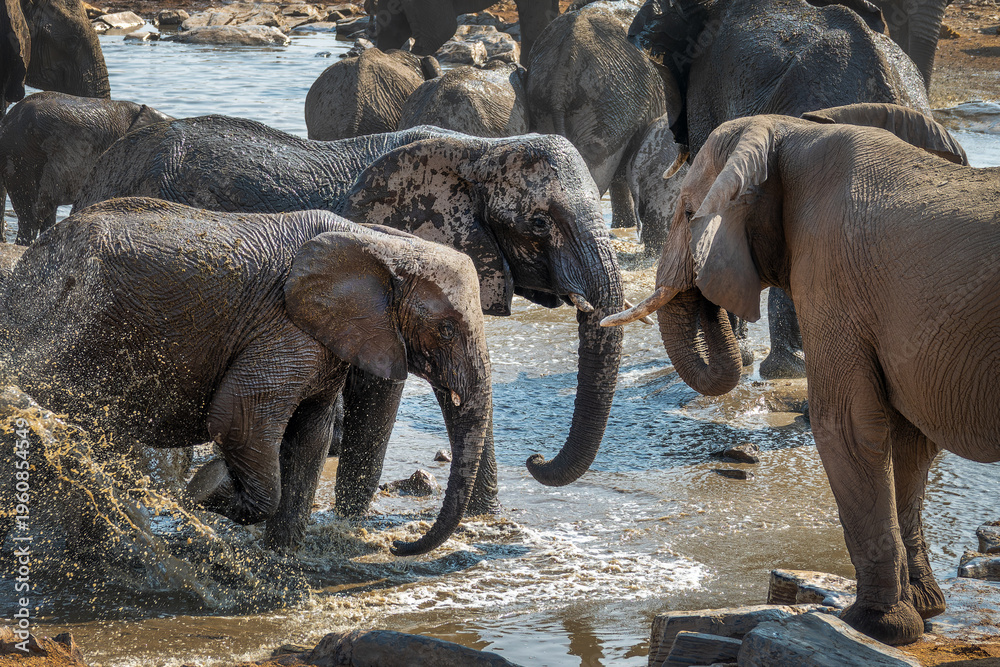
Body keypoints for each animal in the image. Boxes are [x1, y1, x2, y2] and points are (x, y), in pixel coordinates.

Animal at [0, 197, 494, 556]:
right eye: (447, 329)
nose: (396, 546)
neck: (378, 242)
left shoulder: (323, 340)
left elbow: (311, 434)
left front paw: (282, 557)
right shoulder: (283, 328)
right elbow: (239, 417)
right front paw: (206, 492)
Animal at [73, 115, 625, 520]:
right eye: (539, 223)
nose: (535, 460)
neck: (480, 149)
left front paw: (482, 519)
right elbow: (378, 389)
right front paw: (350, 524)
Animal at [603, 104, 980, 645]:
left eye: (688, 215)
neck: (793, 131)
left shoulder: (832, 275)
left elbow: (846, 424)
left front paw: (870, 625)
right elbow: (909, 438)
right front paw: (923, 613)